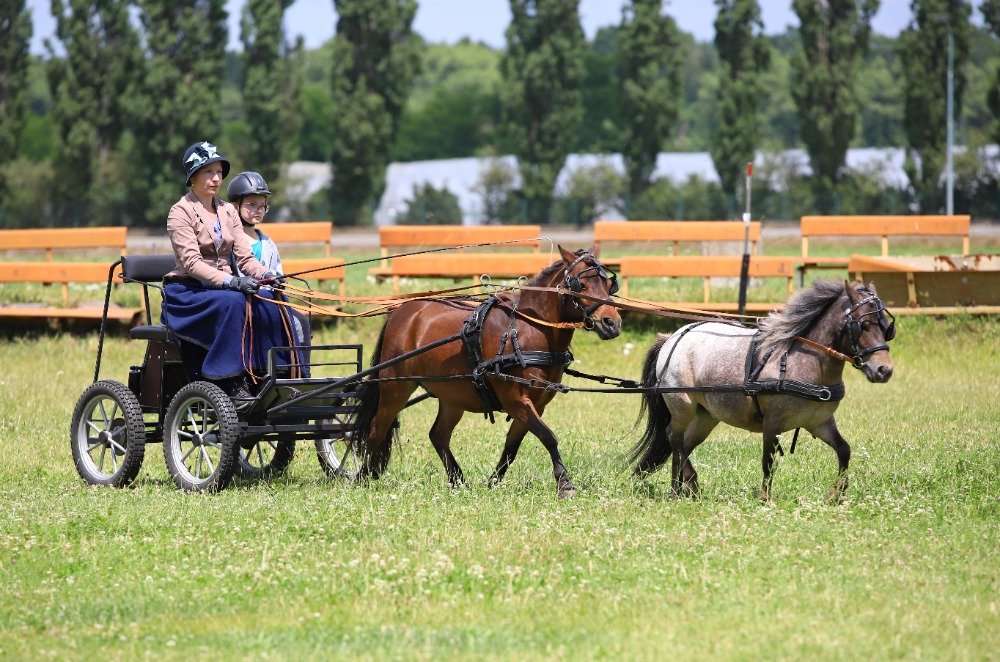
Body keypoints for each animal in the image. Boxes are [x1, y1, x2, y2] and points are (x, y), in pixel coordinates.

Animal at [350, 248, 616, 498]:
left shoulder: (537, 403)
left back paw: (457, 480)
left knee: (438, 435)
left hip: (452, 393)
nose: (612, 323)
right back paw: (361, 478)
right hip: (395, 387)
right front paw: (565, 484)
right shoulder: (515, 398)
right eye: (581, 286)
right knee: (376, 431)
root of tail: (401, 312)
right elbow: (548, 436)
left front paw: (493, 482)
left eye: (608, 285)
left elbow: (512, 446)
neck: (527, 330)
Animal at [628, 280, 896, 504]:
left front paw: (835, 493)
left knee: (683, 443)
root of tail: (672, 337)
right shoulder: (772, 423)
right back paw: (683, 486)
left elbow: (844, 450)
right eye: (863, 325)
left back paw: (683, 489)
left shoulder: (819, 421)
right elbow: (768, 462)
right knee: (673, 436)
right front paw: (765, 499)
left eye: (886, 327)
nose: (884, 370)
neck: (803, 361)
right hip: (682, 404)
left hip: (706, 416)